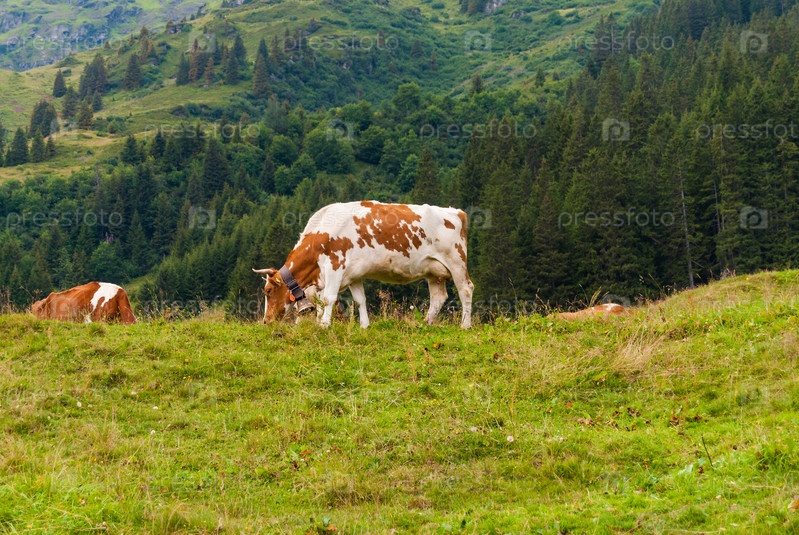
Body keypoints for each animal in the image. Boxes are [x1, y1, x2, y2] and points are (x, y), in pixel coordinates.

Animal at [253, 201, 474, 329]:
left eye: (268, 292)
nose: (266, 321)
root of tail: (456, 212)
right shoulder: (353, 275)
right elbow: (360, 300)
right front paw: (364, 326)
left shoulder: (335, 266)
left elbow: (328, 298)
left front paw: (324, 325)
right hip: (433, 271)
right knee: (438, 297)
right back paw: (425, 324)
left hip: (456, 261)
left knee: (465, 290)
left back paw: (465, 325)